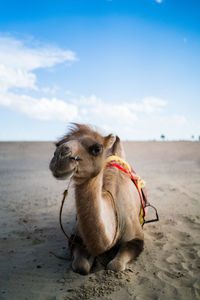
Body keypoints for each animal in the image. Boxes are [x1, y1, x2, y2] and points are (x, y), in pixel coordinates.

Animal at [49, 123, 145, 274]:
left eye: (97, 149)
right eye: (57, 144)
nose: (60, 158)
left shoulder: (136, 238)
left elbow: (115, 266)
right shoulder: (76, 237)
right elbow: (80, 266)